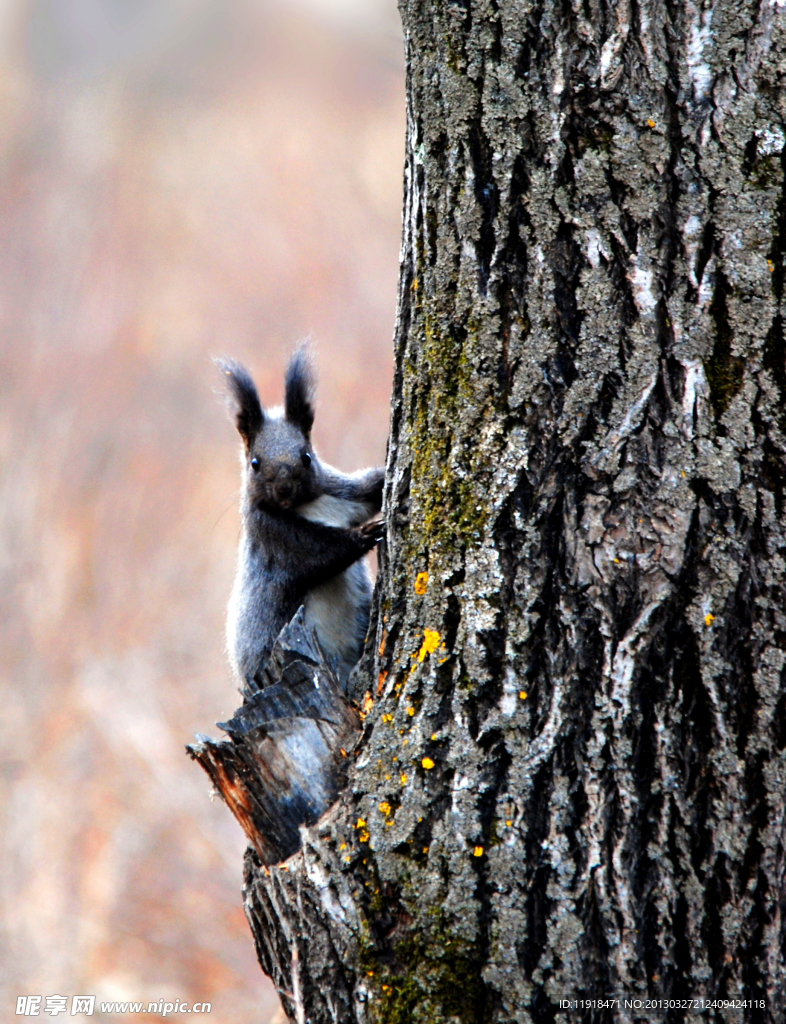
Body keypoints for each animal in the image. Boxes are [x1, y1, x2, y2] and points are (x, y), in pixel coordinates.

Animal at [217, 346, 384, 696]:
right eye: (255, 463)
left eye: (306, 457)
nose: (284, 488)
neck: (308, 505)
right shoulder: (274, 535)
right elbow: (319, 553)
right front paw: (365, 534)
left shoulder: (342, 494)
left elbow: (367, 488)